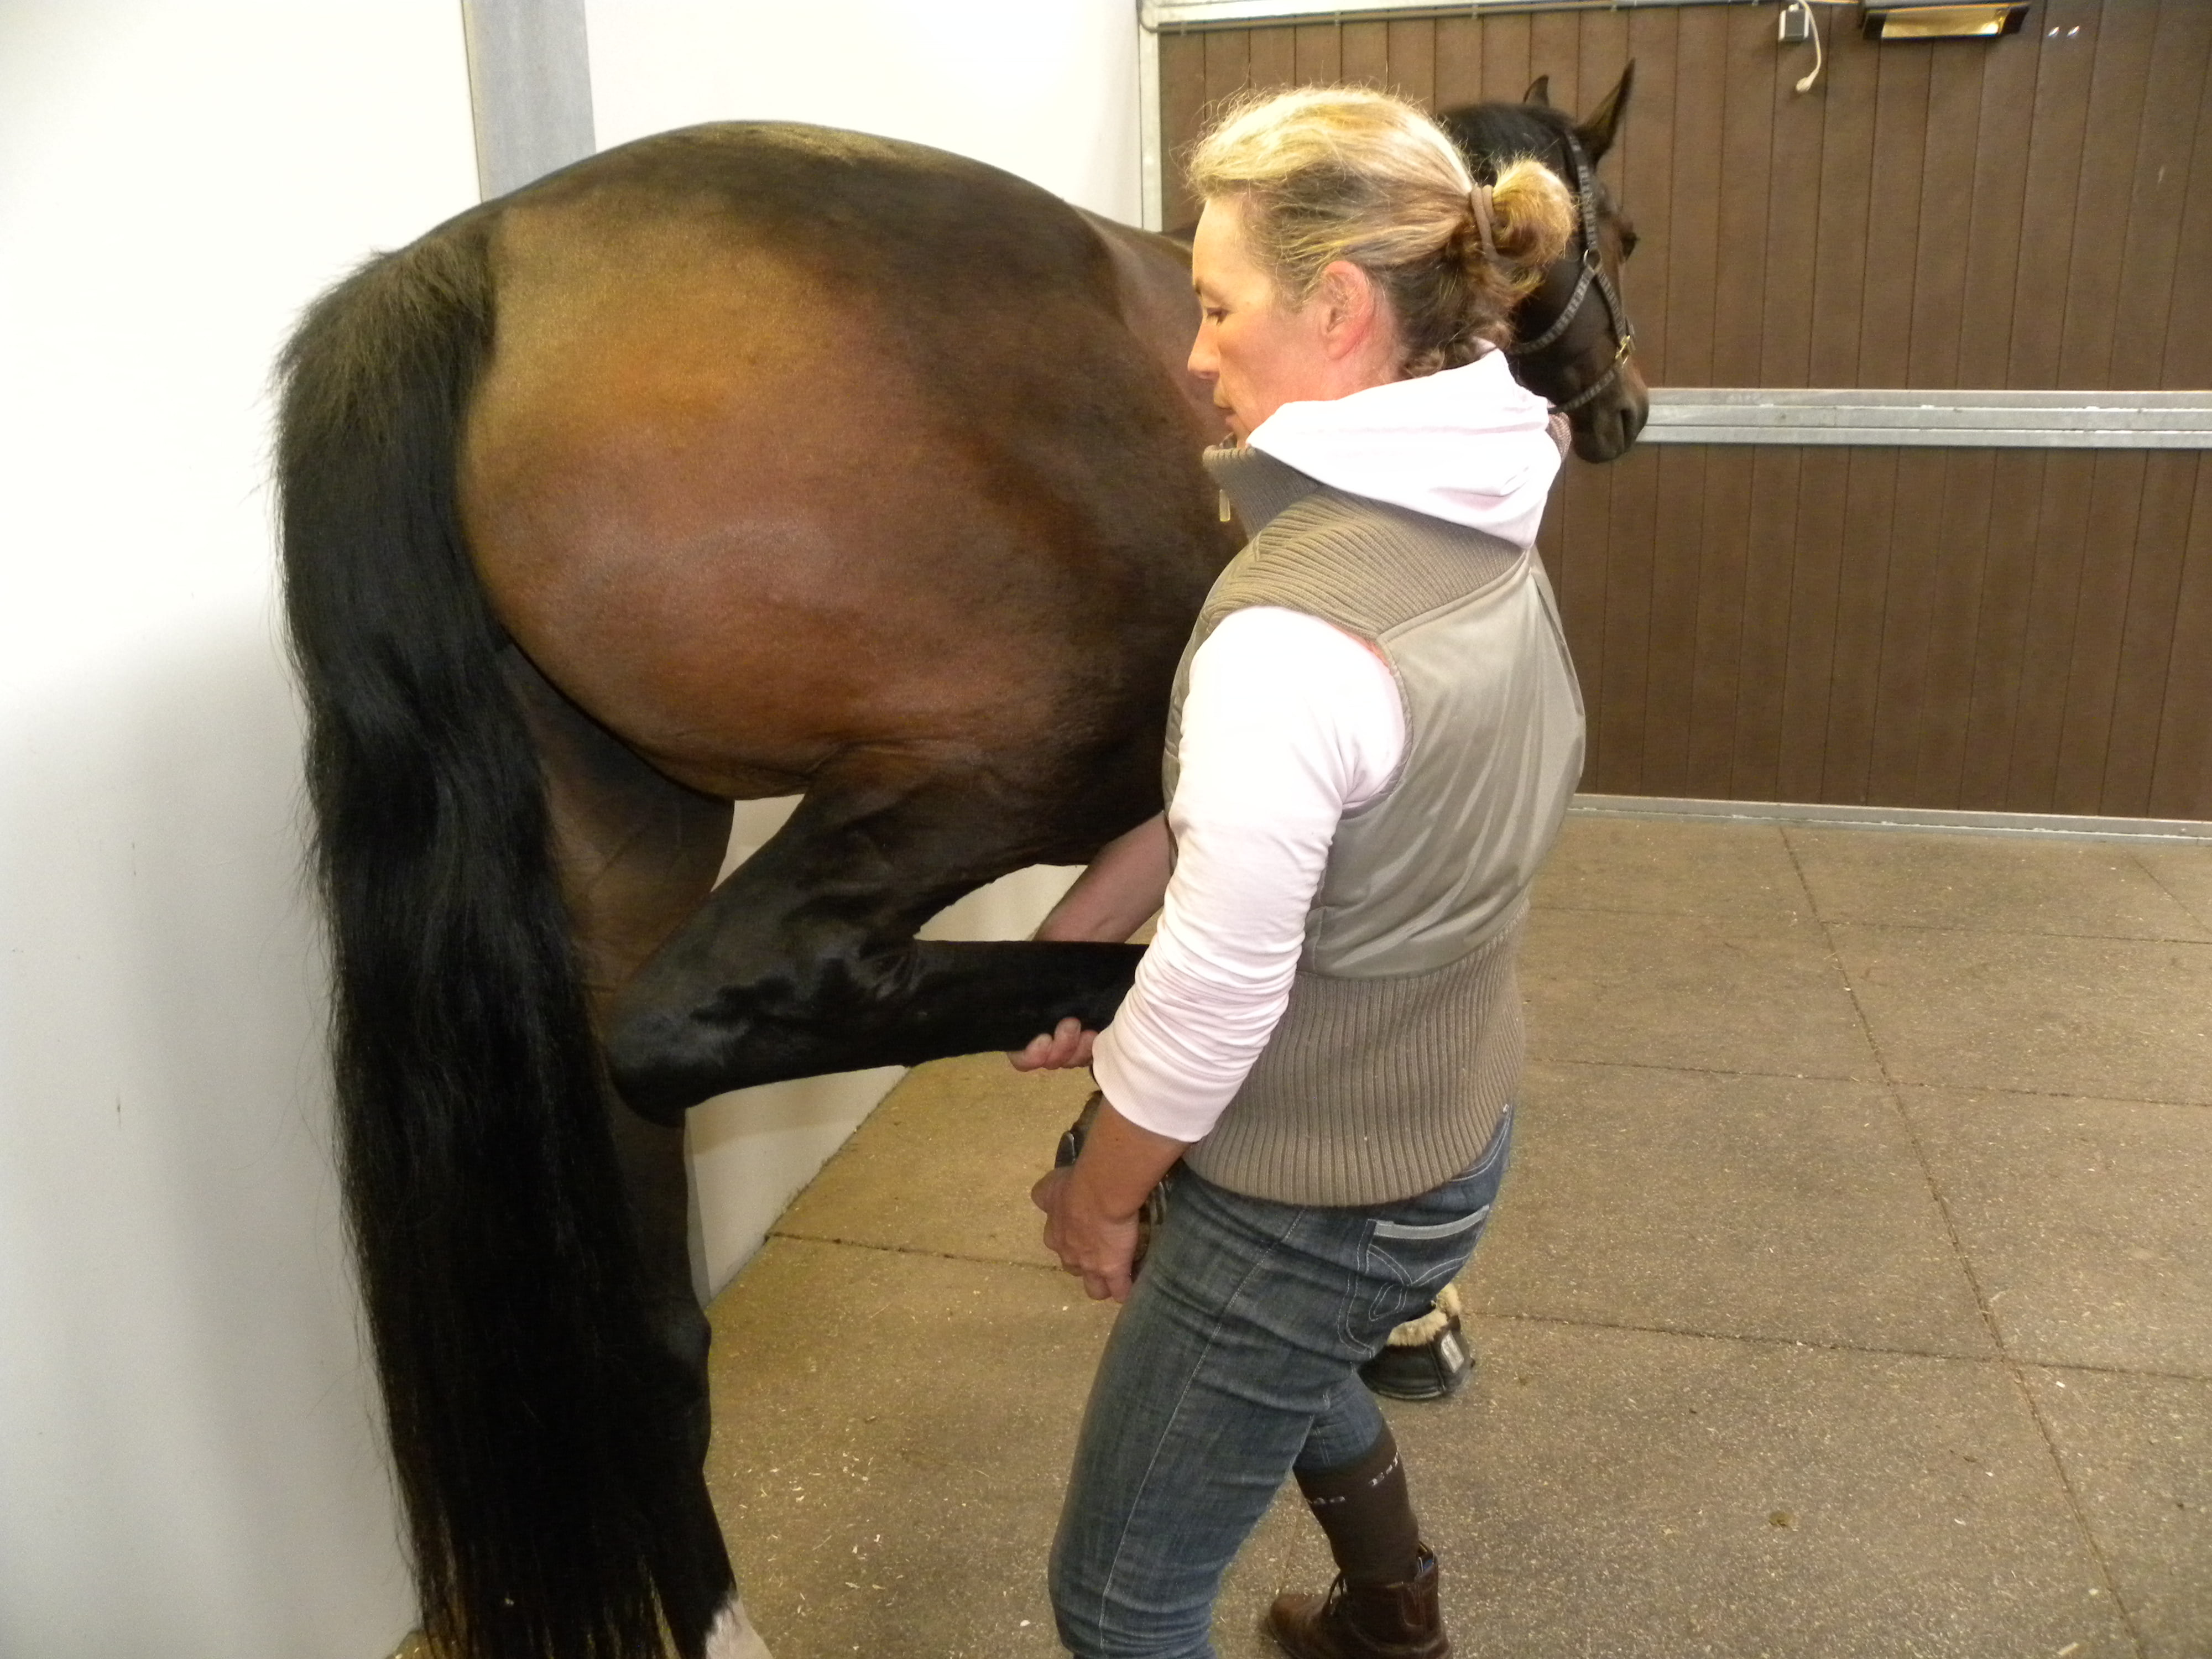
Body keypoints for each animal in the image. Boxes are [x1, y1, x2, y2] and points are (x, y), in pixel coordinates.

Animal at [275, 71, 1641, 1659]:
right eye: (1616, 233)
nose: (1623, 407)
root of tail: (476, 260)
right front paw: (1392, 1305)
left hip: (618, 872)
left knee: (655, 1327)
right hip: (998, 759)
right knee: (714, 1009)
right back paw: (1100, 1015)